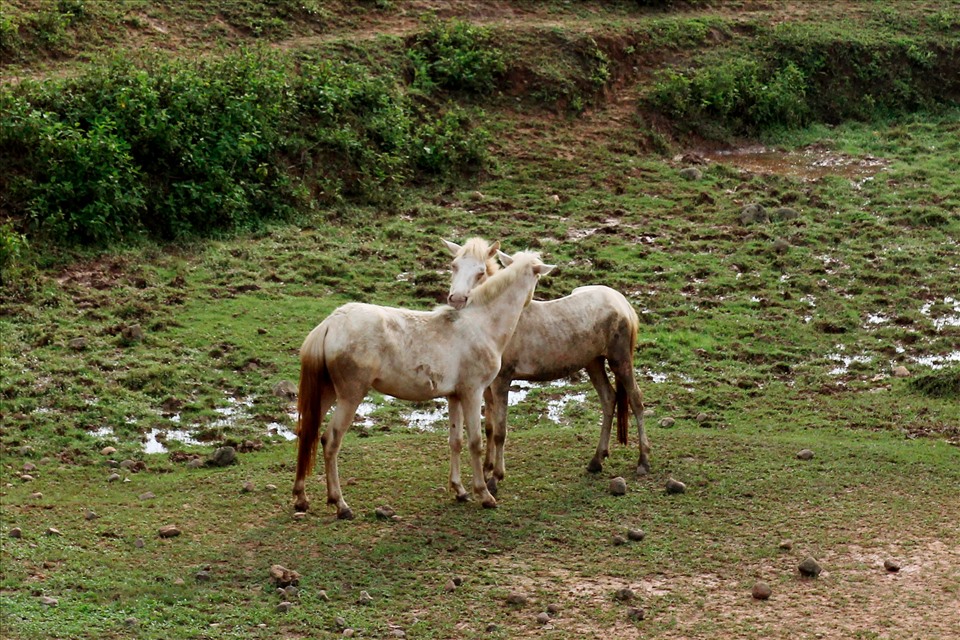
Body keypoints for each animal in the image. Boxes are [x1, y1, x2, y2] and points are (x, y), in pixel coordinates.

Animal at [292, 248, 556, 516]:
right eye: (537, 277)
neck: (480, 324)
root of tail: (331, 323)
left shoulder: (454, 396)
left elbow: (455, 441)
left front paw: (460, 490)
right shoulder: (473, 393)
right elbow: (475, 442)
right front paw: (484, 494)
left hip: (326, 393)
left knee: (306, 433)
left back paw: (301, 498)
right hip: (350, 396)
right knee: (331, 440)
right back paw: (340, 504)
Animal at [444, 238, 652, 492]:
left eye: (480, 272)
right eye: (454, 265)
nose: (457, 299)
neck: (498, 321)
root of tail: (622, 302)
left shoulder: (502, 381)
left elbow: (500, 431)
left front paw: (495, 478)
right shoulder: (486, 388)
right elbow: (490, 428)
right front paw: (486, 470)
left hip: (620, 360)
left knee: (636, 400)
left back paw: (643, 460)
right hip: (593, 363)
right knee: (608, 398)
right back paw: (596, 460)